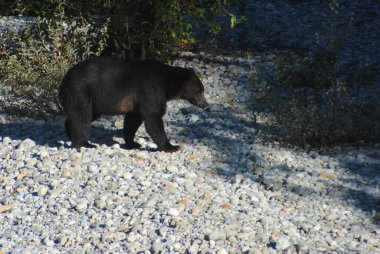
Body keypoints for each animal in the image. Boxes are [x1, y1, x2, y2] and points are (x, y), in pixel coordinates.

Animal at [58, 56, 208, 152]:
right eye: (199, 90)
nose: (205, 104)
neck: (167, 83)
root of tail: (64, 79)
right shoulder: (150, 89)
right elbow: (153, 116)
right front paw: (172, 146)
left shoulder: (137, 101)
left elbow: (133, 120)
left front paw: (133, 143)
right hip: (81, 91)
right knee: (82, 115)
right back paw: (85, 143)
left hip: (94, 102)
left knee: (82, 115)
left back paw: (70, 135)